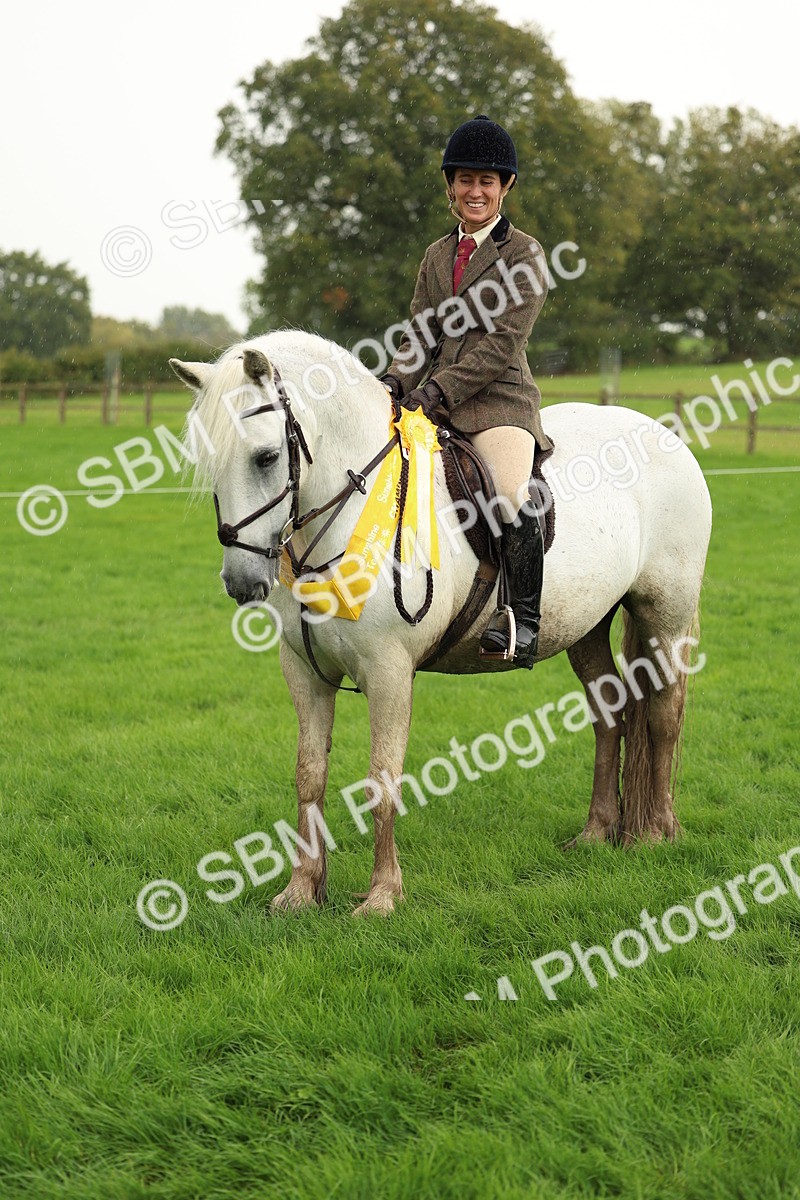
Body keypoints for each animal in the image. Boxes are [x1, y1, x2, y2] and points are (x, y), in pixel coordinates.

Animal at [171, 330, 712, 916]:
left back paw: (658, 832)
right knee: (609, 712)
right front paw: (300, 891)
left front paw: (382, 896)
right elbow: (309, 776)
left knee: (663, 714)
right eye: (209, 462)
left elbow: (382, 780)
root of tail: (664, 434)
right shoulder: (306, 674)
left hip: (665, 614)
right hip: (587, 625)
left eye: (267, 457)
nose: (241, 582)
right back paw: (597, 833)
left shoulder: (388, 673)